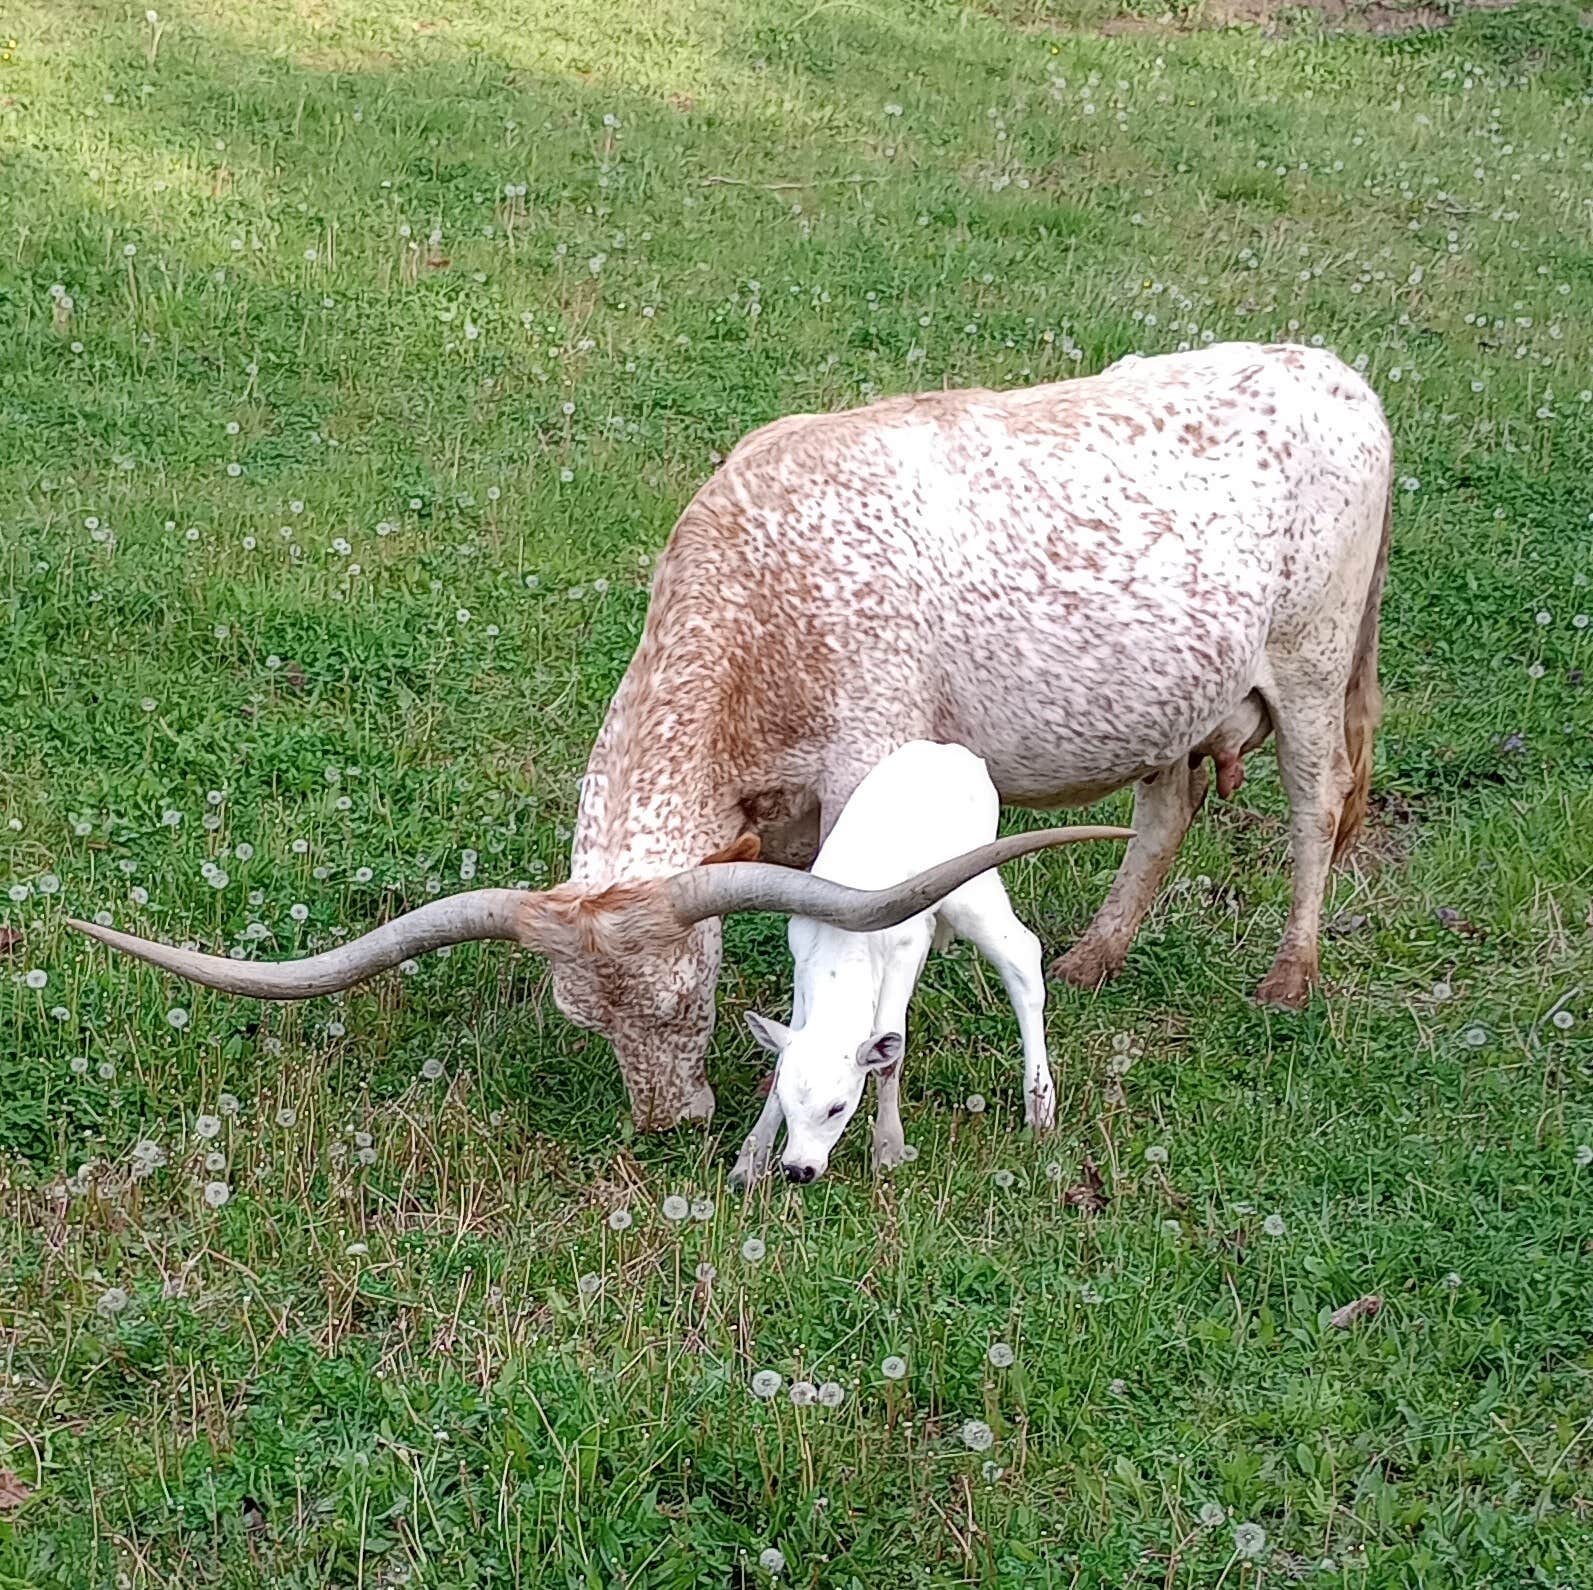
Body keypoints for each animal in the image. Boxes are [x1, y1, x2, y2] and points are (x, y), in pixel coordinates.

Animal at [70, 341, 1392, 1137]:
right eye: (583, 1022)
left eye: (688, 996)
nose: (671, 1125)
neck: (762, 605)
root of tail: (1336, 373)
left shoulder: (874, 782)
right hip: (1181, 695)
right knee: (1166, 810)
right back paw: (1095, 959)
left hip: (1314, 662)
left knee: (1317, 804)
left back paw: (1288, 978)